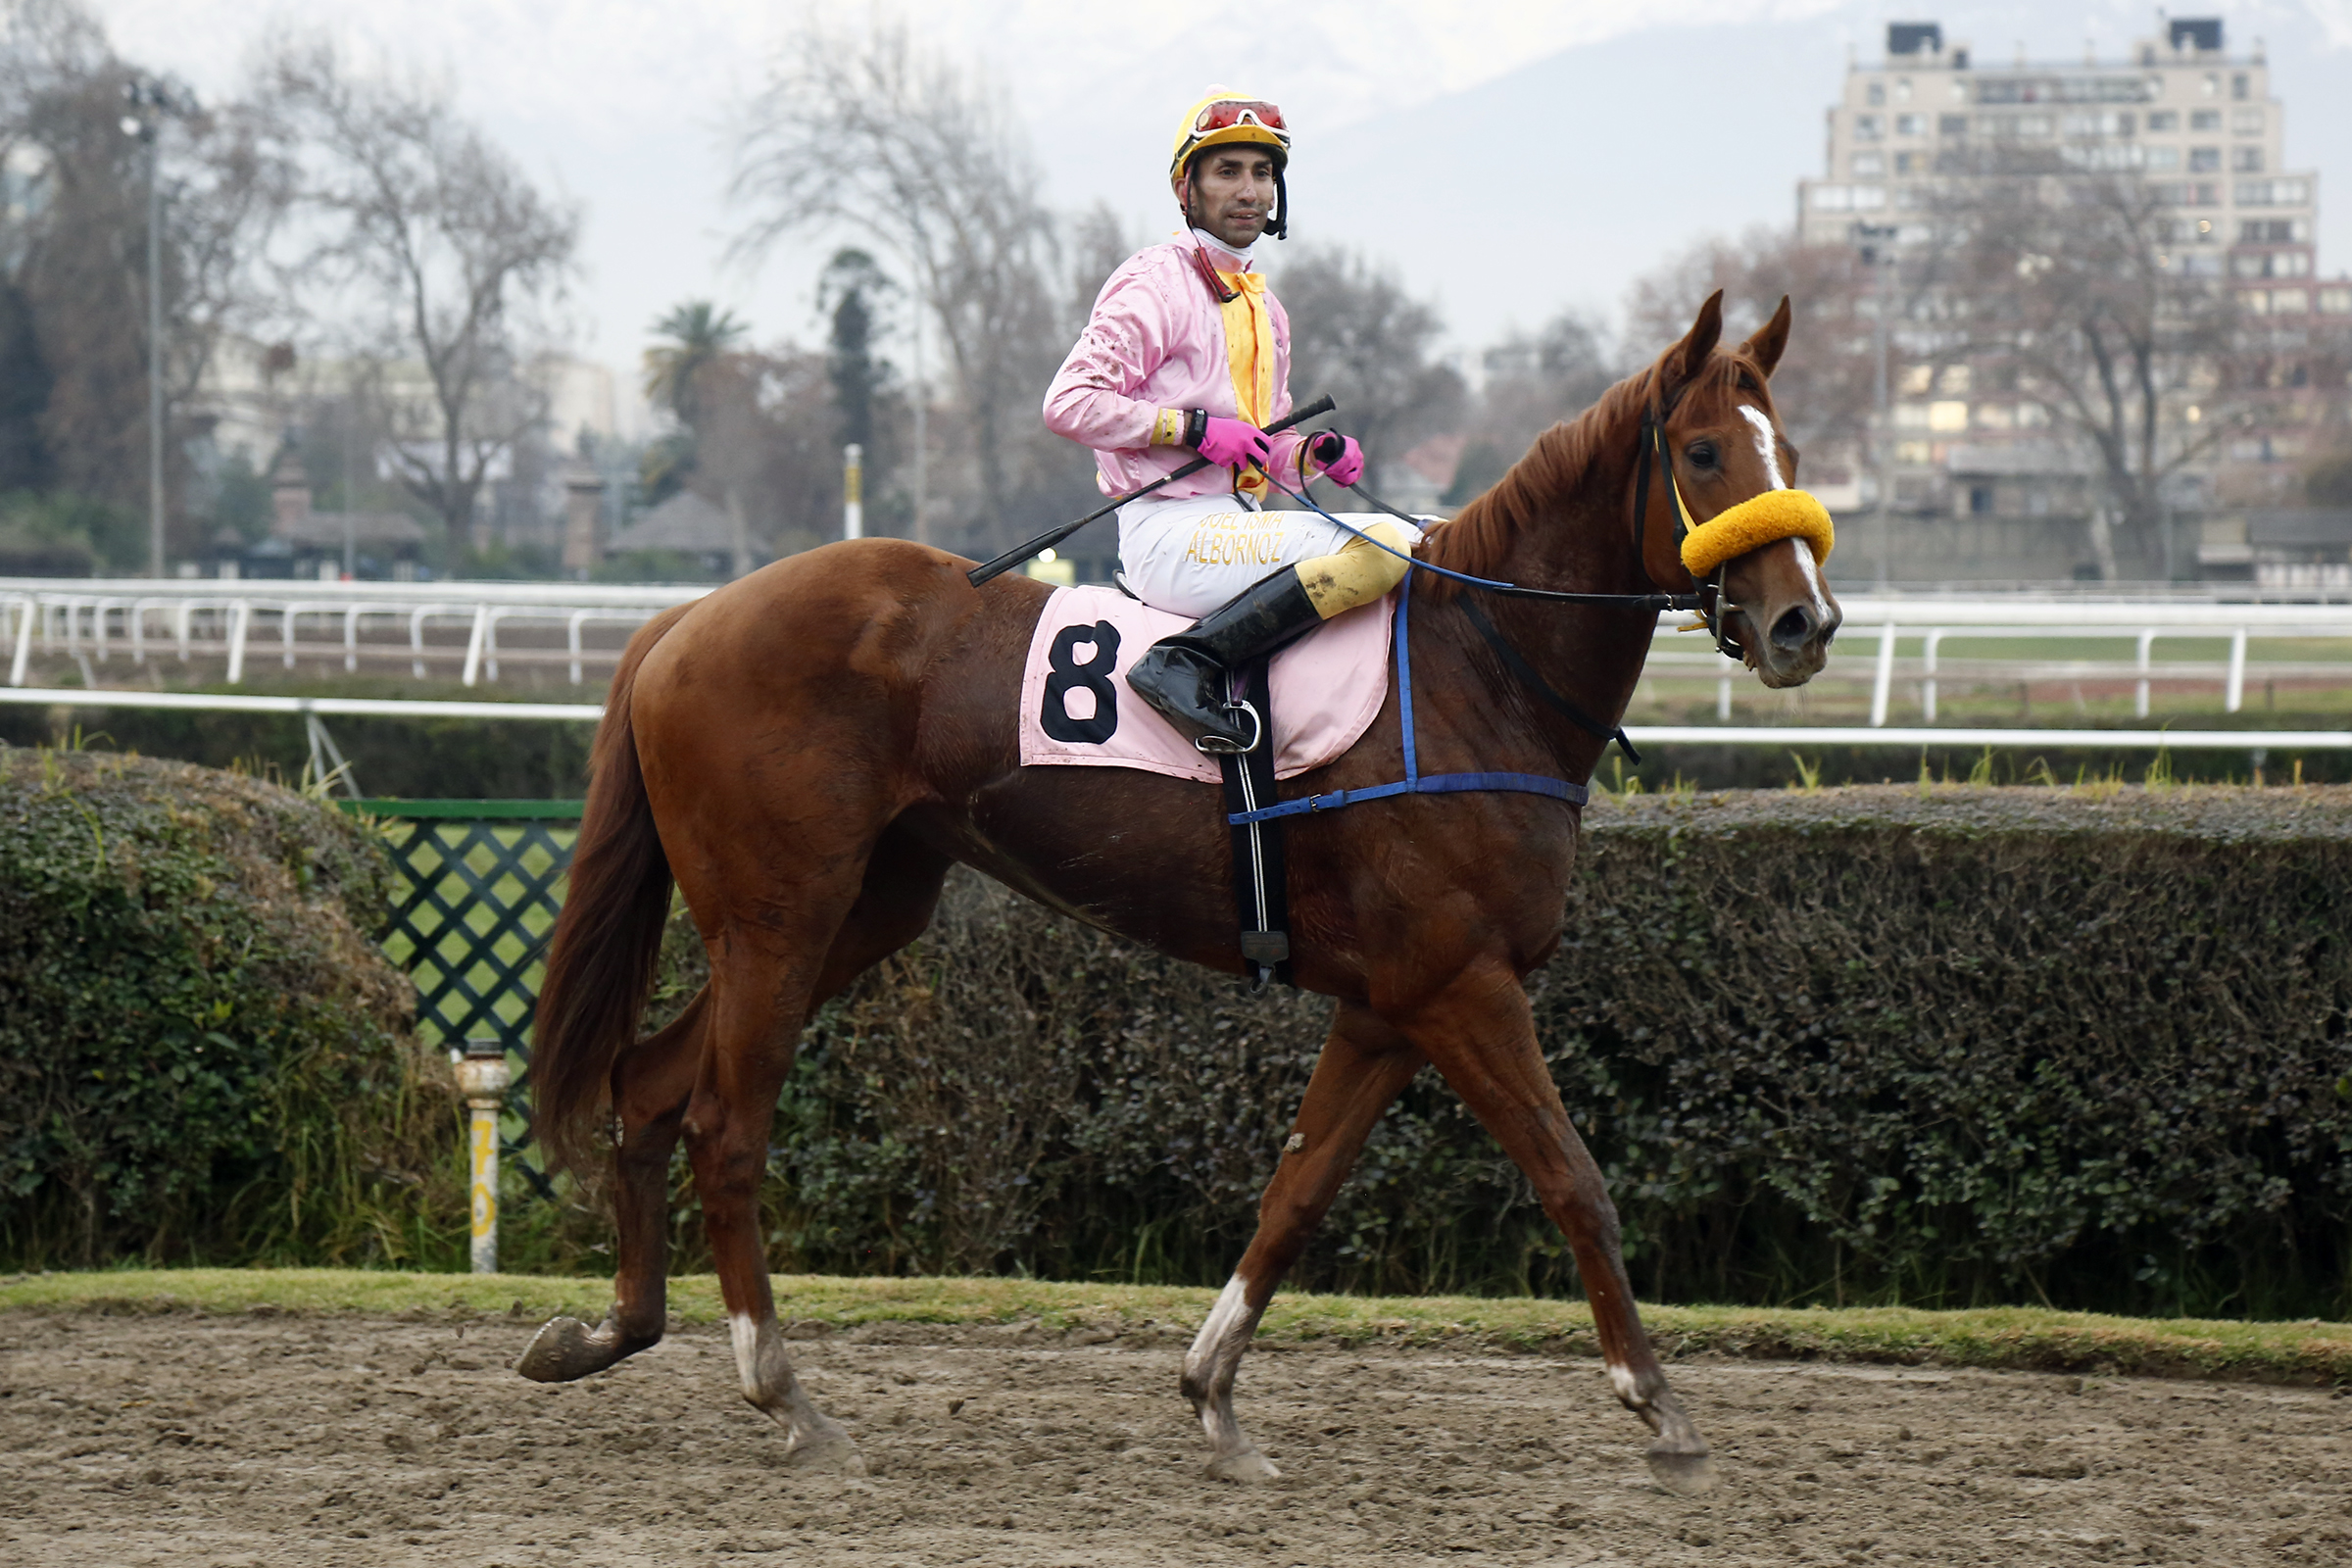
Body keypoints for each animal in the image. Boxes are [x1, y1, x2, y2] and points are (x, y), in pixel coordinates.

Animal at [516, 290, 1842, 1496]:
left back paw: (609, 1330)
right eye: (1704, 451)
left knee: (647, 1086)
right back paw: (784, 1396)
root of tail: (690, 615)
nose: (1805, 624)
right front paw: (1661, 1409)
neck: (1479, 668)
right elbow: (1575, 1180)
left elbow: (1294, 1196)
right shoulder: (1464, 988)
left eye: (1788, 449)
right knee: (722, 1127)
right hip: (777, 919)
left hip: (858, 912)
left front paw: (1214, 1398)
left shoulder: (1388, 1008)